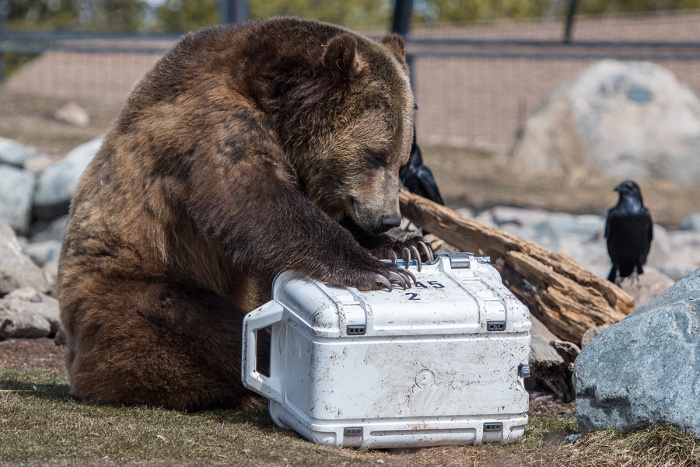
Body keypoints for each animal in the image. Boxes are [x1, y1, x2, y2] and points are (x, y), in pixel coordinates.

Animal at [58, 17, 434, 411]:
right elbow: (257, 200)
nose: (388, 218)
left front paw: (406, 246)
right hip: (132, 289)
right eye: (375, 155)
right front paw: (380, 271)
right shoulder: (212, 122)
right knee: (203, 326)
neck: (276, 99)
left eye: (401, 161)